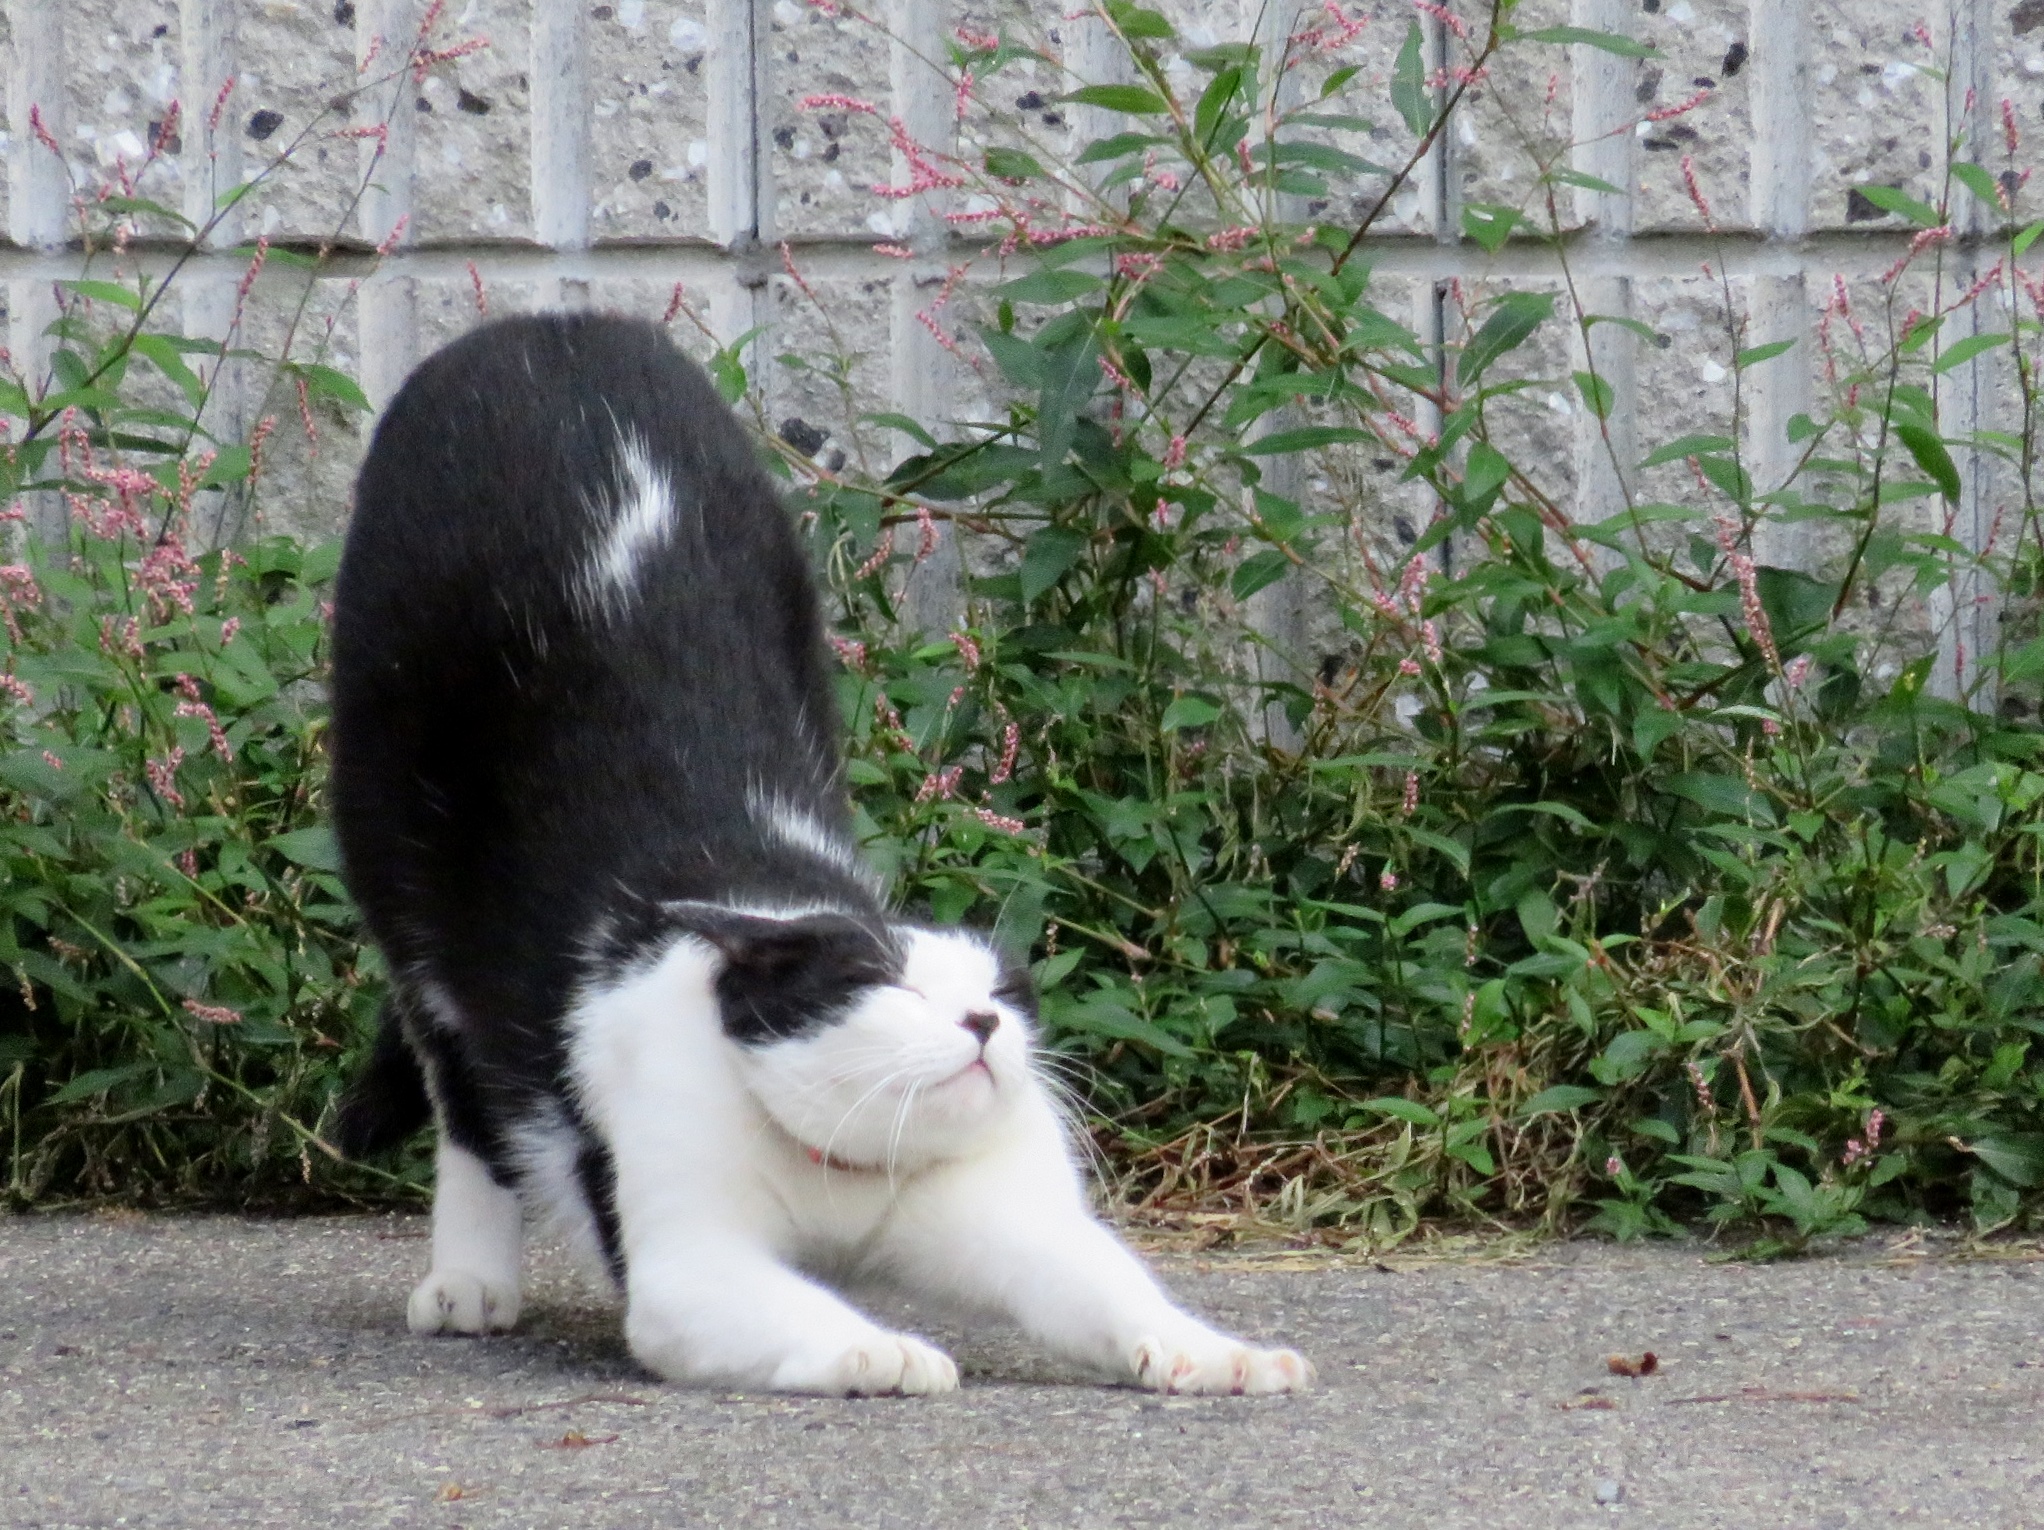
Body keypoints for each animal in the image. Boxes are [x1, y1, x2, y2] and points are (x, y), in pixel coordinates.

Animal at [318, 312, 1308, 1397]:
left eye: (1003, 995)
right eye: (883, 985)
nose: (979, 1023)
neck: (849, 1176)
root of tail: (549, 325)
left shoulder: (1019, 1218)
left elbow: (1108, 1285)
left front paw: (1217, 1353)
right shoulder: (689, 1259)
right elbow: (794, 1310)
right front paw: (889, 1350)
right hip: (400, 863)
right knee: (467, 1095)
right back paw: (469, 1283)